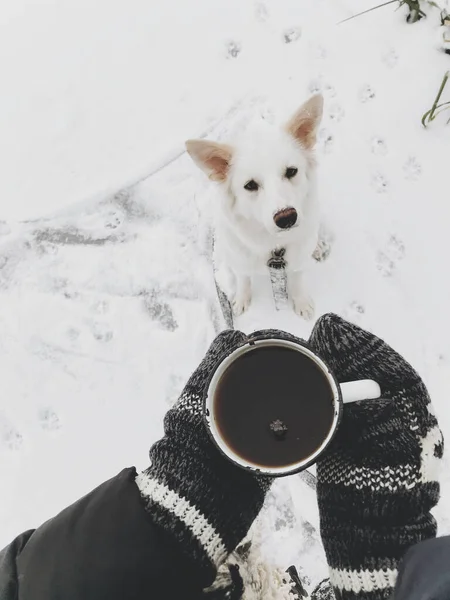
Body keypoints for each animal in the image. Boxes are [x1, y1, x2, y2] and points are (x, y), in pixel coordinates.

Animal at [186, 94, 324, 318]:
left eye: (291, 171)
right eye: (250, 185)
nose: (286, 217)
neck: (273, 246)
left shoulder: (296, 262)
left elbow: (297, 279)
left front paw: (301, 301)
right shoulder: (239, 261)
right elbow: (244, 280)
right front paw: (242, 299)